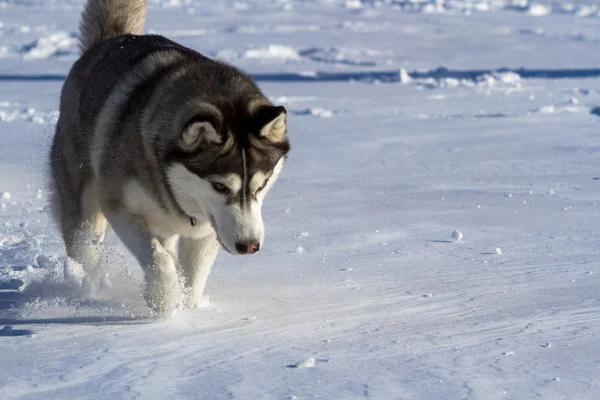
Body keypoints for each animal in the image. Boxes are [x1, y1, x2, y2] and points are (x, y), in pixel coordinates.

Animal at [50, 0, 290, 312]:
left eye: (262, 185)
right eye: (219, 186)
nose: (249, 245)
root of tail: (108, 41)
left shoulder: (207, 227)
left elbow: (193, 275)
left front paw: (185, 309)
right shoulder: (119, 207)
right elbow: (158, 259)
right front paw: (165, 302)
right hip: (85, 207)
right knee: (83, 247)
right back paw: (81, 288)